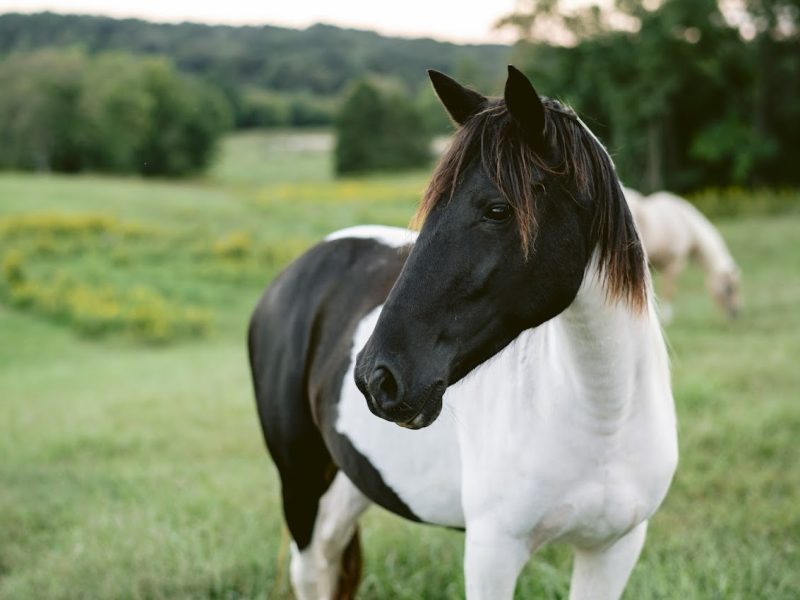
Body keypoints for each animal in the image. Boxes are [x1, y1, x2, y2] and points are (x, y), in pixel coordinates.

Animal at [248, 66, 678, 600]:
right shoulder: (493, 553)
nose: (375, 378)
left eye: (496, 210)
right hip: (300, 482)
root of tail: (292, 275)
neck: (604, 420)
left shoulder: (612, 550)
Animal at [623, 187, 741, 323]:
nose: (736, 313)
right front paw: (667, 318)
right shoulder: (673, 263)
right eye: (729, 288)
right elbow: (669, 291)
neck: (685, 224)